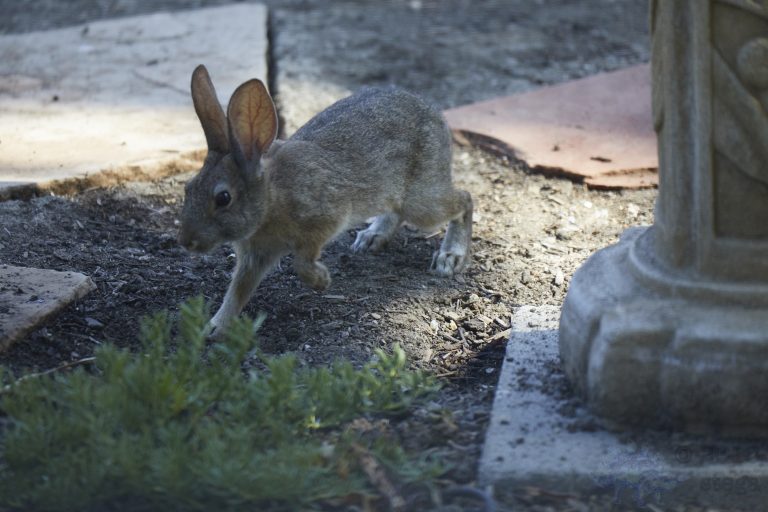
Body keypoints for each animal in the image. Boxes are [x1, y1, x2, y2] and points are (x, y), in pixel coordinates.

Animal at [178, 65, 473, 336]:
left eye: (223, 198)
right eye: (188, 188)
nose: (186, 242)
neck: (270, 200)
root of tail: (434, 112)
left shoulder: (324, 219)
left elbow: (302, 262)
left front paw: (321, 281)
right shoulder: (254, 255)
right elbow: (238, 291)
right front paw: (213, 328)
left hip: (422, 202)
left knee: (464, 200)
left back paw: (450, 256)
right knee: (396, 212)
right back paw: (372, 238)